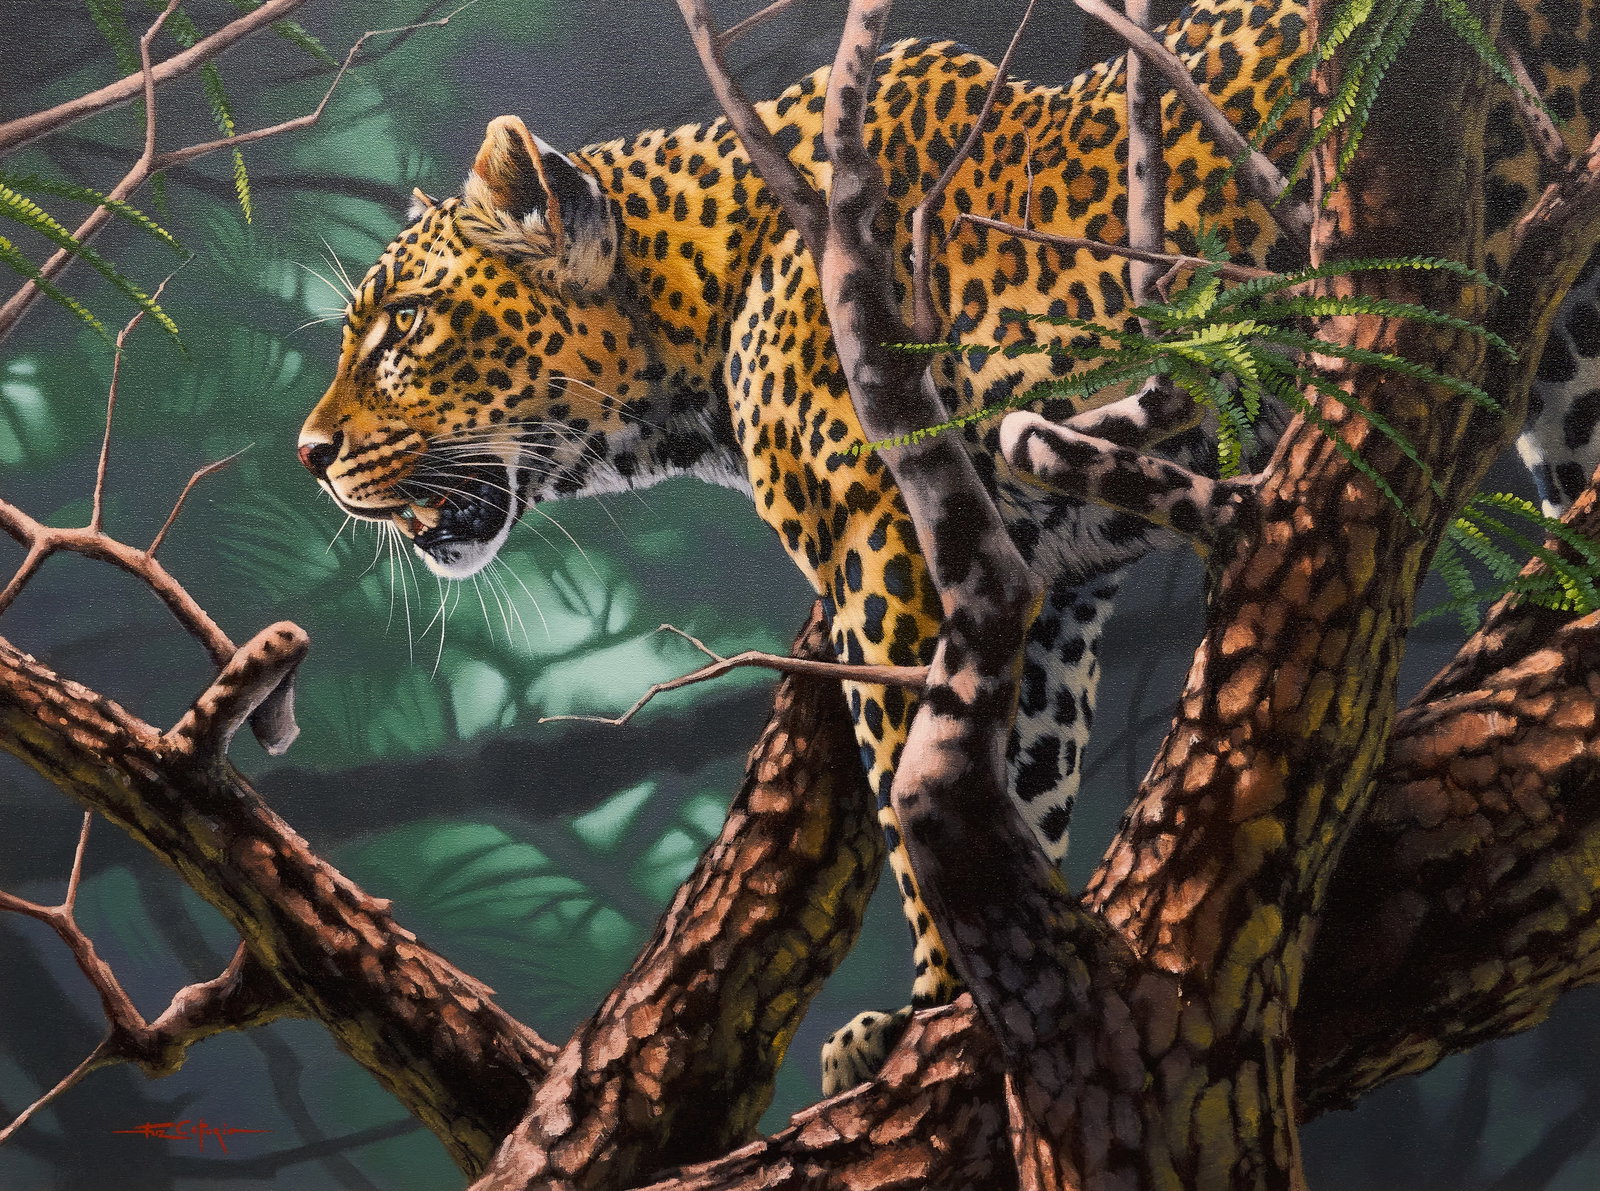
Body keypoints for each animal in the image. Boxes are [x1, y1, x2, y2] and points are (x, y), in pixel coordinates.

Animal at [299, 0, 1600, 1096]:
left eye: (404, 324)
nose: (309, 454)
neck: (698, 304)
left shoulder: (886, 542)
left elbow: (908, 772)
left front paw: (930, 1010)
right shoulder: (1044, 578)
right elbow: (1023, 769)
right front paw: (1007, 965)